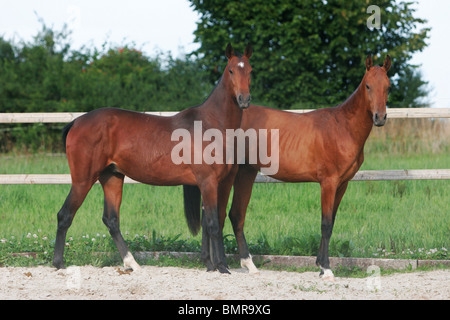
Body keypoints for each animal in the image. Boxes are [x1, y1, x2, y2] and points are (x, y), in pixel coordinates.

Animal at [52, 42, 253, 274]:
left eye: (250, 70)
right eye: (231, 70)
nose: (244, 99)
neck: (211, 124)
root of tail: (76, 122)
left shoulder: (214, 184)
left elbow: (210, 222)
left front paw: (210, 264)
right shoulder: (208, 182)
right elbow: (213, 223)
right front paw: (221, 266)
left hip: (111, 178)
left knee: (111, 220)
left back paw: (132, 263)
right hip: (83, 180)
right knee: (65, 215)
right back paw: (59, 263)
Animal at [185, 55, 390, 280]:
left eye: (388, 87)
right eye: (368, 86)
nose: (380, 117)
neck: (342, 127)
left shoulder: (342, 184)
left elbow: (332, 222)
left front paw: (320, 264)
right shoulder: (328, 183)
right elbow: (326, 224)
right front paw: (326, 268)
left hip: (246, 172)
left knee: (232, 214)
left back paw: (234, 263)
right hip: (229, 176)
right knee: (219, 215)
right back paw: (219, 264)